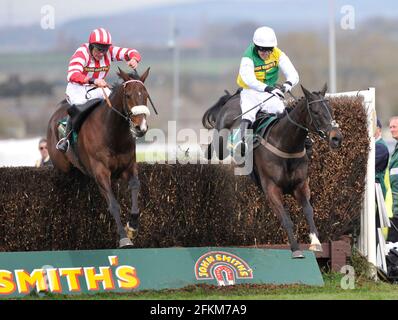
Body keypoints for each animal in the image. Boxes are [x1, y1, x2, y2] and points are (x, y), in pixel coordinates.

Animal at [47, 67, 152, 248]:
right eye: (128, 95)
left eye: (145, 95)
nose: (141, 128)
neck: (113, 134)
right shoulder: (101, 172)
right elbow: (113, 205)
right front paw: (124, 238)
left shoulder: (129, 166)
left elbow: (135, 187)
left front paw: (132, 227)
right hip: (62, 168)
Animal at [204, 84, 344, 258]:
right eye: (316, 111)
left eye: (331, 110)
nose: (336, 138)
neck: (285, 145)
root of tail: (233, 97)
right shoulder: (271, 189)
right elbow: (286, 218)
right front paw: (296, 249)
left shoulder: (300, 185)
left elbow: (309, 211)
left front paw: (315, 242)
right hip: (222, 141)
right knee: (216, 145)